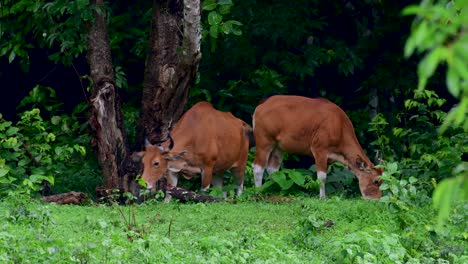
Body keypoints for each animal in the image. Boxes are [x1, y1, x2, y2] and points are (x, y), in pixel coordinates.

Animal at [254, 96, 382, 199]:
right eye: (376, 181)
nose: (377, 200)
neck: (339, 126)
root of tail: (261, 105)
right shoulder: (319, 150)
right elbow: (322, 177)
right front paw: (322, 197)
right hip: (263, 141)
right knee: (258, 167)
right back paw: (258, 192)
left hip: (278, 147)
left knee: (273, 170)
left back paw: (274, 189)